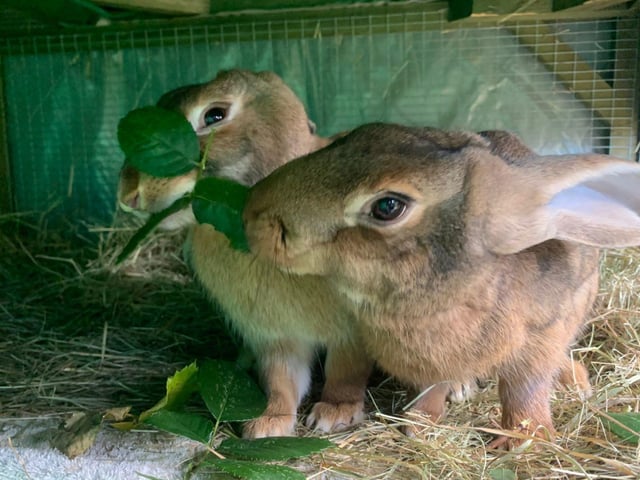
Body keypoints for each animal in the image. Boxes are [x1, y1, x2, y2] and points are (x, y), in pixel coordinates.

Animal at [117, 69, 374, 438]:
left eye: (214, 116)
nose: (128, 193)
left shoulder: (351, 333)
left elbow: (345, 372)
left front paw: (334, 414)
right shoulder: (275, 336)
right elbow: (281, 380)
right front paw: (267, 424)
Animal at [243, 122, 640, 447]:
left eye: (388, 206)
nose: (253, 212)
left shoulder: (542, 336)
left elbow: (524, 389)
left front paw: (524, 440)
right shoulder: (431, 362)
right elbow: (431, 387)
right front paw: (419, 424)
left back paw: (576, 384)